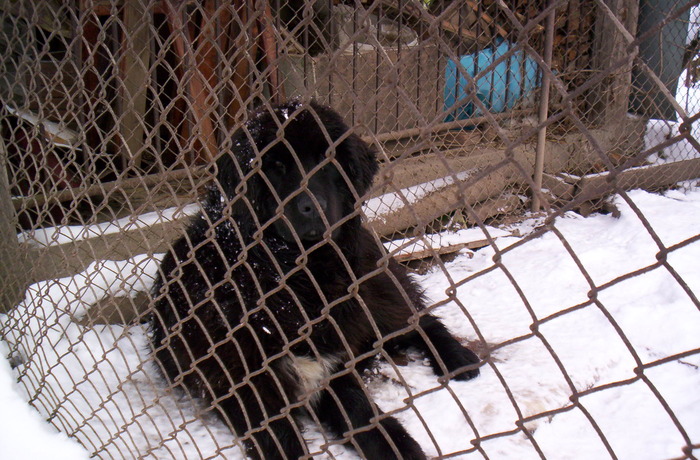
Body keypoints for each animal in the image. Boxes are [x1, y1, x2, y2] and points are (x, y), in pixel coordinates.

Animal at [150, 101, 478, 460]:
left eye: (328, 161)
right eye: (276, 166)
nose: (313, 207)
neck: (292, 277)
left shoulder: (332, 368)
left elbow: (367, 418)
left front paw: (401, 448)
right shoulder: (245, 385)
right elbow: (282, 440)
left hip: (373, 293)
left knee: (421, 320)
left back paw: (457, 359)